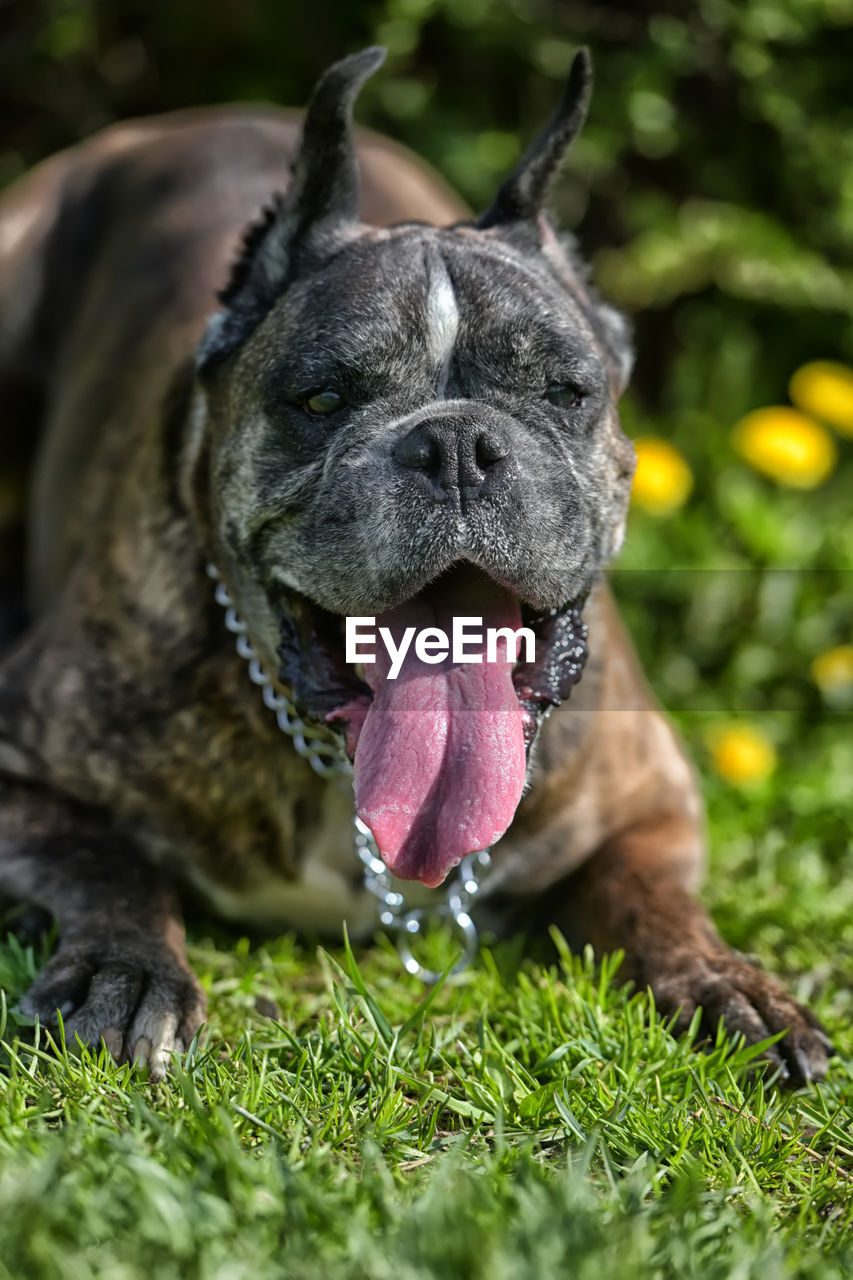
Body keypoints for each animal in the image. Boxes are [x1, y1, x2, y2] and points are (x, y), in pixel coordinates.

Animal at [0, 52, 824, 1090]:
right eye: (320, 398)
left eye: (565, 392)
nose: (458, 445)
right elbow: (106, 863)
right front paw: (125, 969)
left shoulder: (651, 797)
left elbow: (648, 893)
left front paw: (725, 982)